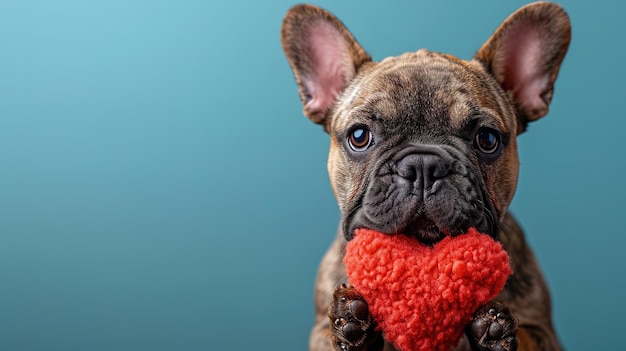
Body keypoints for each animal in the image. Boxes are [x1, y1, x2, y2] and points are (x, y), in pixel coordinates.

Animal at [280, 2, 568, 351]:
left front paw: (494, 329)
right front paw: (352, 324)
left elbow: (525, 336)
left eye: (487, 139)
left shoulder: (542, 331)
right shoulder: (320, 329)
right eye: (359, 136)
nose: (422, 166)